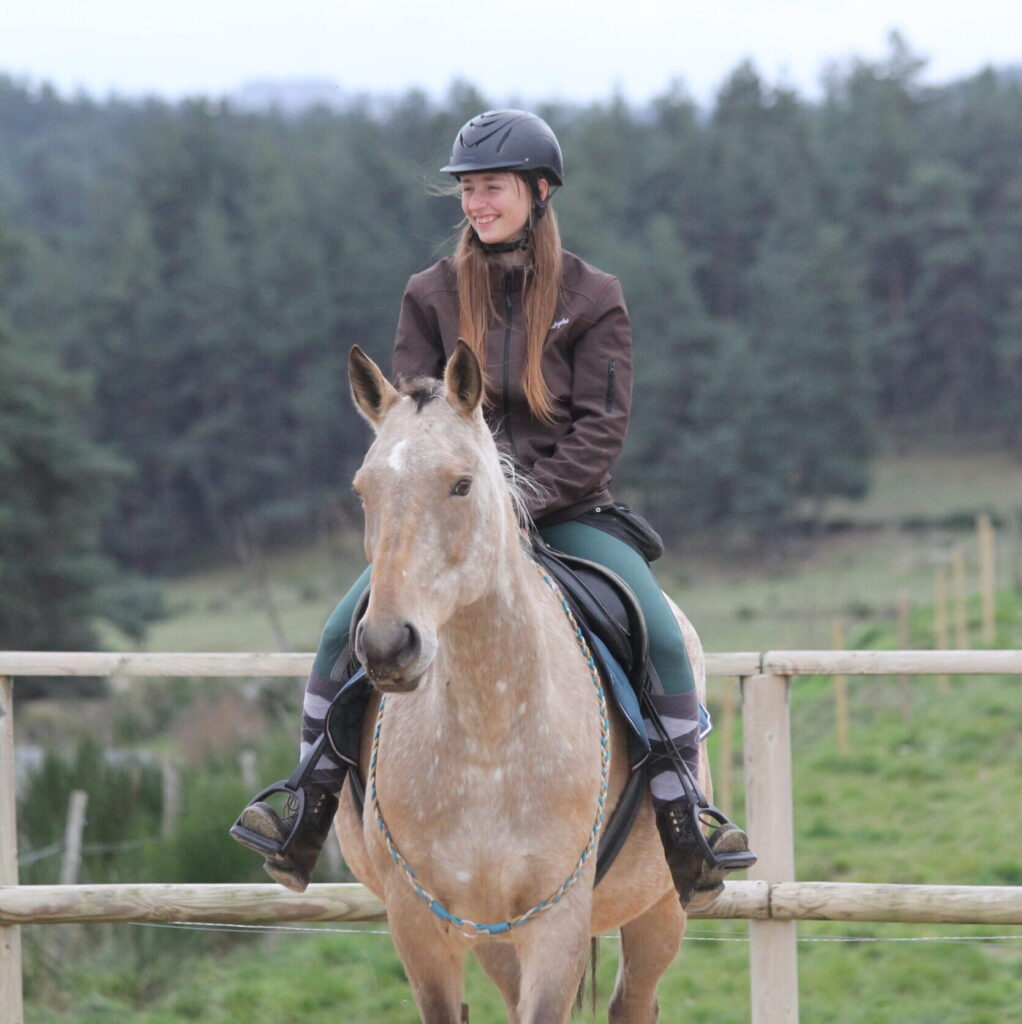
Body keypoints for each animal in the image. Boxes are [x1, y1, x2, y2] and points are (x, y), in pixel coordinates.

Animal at [336, 342, 713, 1024]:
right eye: (363, 491)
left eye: (462, 483)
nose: (386, 646)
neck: (489, 732)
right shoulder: (421, 925)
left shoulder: (556, 921)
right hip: (494, 935)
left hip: (660, 909)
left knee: (634, 999)